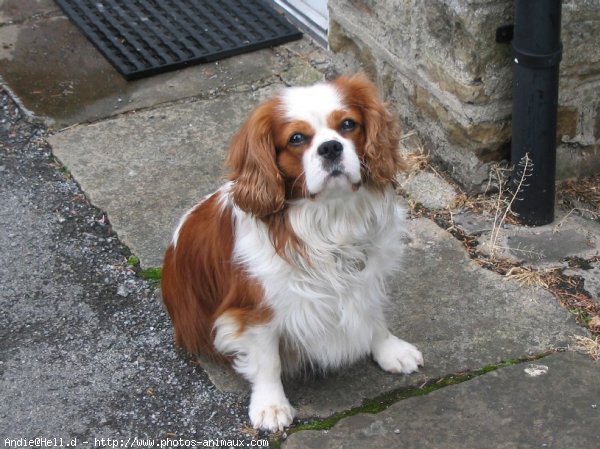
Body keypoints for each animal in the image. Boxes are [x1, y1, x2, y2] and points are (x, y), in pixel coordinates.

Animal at [159, 73, 422, 430]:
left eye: (348, 125)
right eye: (297, 138)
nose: (330, 147)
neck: (330, 218)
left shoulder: (367, 276)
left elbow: (374, 314)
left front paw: (389, 350)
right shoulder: (254, 309)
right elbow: (267, 360)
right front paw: (271, 405)